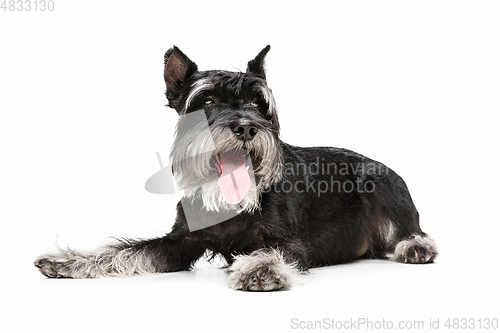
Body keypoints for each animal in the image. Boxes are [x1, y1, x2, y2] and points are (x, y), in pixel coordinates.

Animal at [35, 46, 436, 290]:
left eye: (260, 104)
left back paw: (415, 247)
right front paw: (69, 260)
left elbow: (274, 252)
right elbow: (124, 252)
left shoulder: (288, 242)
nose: (245, 127)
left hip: (381, 183)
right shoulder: (178, 243)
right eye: (207, 100)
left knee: (413, 230)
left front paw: (260, 268)